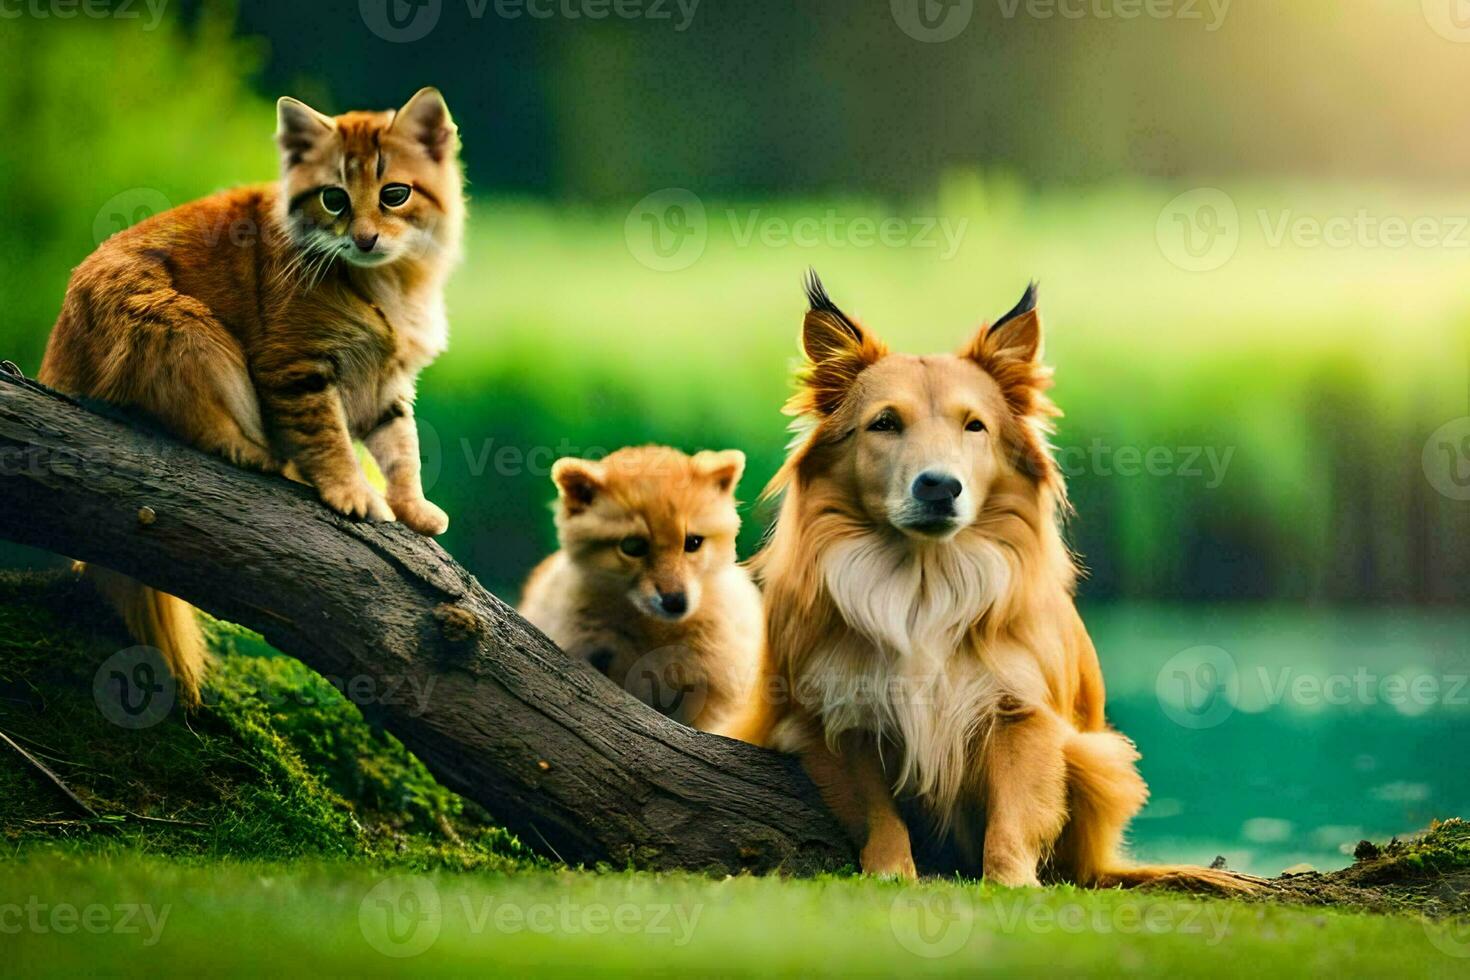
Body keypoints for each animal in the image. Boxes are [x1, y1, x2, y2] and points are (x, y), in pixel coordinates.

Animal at [40, 86, 461, 705]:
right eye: (334, 199)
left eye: (395, 194)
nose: (363, 238)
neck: (388, 281)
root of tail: (58, 359)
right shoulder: (295, 367)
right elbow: (330, 441)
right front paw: (352, 494)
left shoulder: (386, 386)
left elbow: (402, 450)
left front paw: (413, 507)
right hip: (185, 330)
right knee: (192, 423)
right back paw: (258, 455)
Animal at [729, 271, 1258, 893]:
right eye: (884, 423)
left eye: (974, 426)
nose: (939, 486)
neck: (925, 582)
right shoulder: (838, 720)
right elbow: (879, 815)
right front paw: (892, 875)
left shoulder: (1019, 713)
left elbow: (1014, 817)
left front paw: (1012, 885)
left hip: (1098, 760)